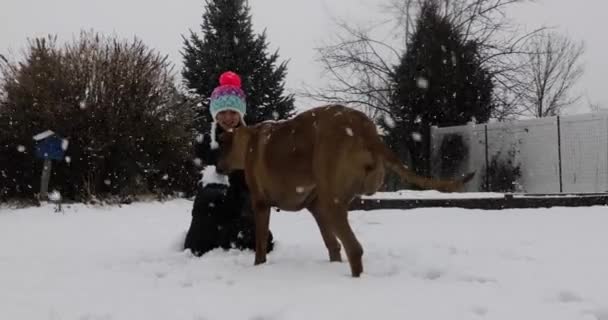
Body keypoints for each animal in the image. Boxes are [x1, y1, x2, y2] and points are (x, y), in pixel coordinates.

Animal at [217, 105, 476, 278]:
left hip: (332, 203)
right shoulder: (316, 208)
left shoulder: (260, 204)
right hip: (339, 199)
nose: (217, 166)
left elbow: (260, 245)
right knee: (347, 244)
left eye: (220, 147)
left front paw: (257, 267)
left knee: (355, 249)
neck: (248, 140)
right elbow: (332, 244)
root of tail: (364, 128)